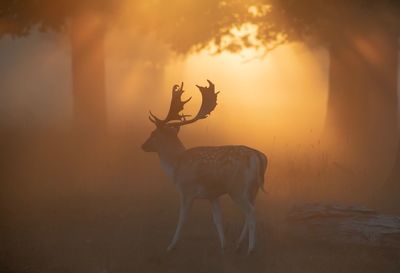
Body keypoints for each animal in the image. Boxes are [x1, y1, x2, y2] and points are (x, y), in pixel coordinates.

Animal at [141, 79, 268, 253]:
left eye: (153, 134)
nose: (143, 145)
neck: (175, 164)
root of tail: (258, 157)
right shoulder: (212, 195)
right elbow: (217, 219)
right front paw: (223, 245)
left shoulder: (186, 190)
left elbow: (182, 219)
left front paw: (171, 246)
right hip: (252, 189)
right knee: (251, 212)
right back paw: (238, 243)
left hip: (237, 188)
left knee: (251, 213)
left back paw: (251, 249)